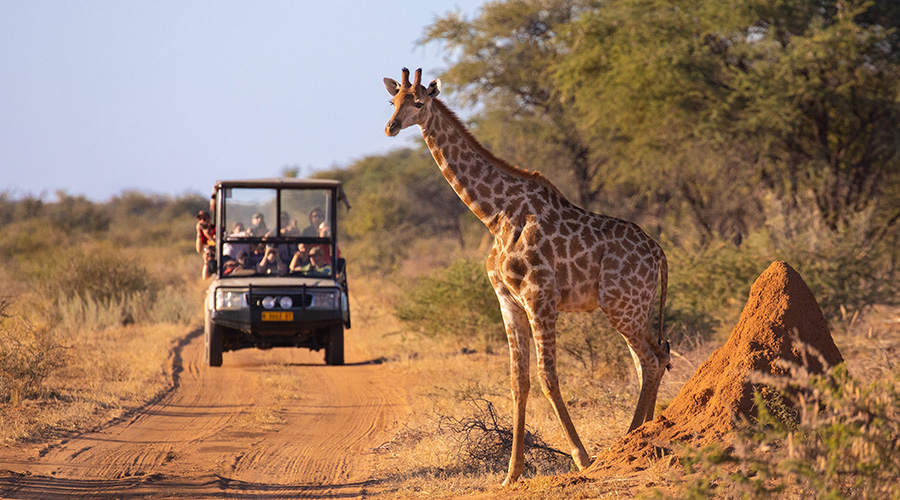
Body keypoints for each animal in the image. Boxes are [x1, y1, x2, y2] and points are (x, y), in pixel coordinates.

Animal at [384, 68, 670, 486]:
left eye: (418, 103)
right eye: (393, 101)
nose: (390, 127)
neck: (494, 215)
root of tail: (659, 253)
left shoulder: (540, 297)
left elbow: (548, 377)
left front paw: (582, 458)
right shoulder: (508, 301)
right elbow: (519, 382)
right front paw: (511, 473)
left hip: (621, 305)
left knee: (649, 360)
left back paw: (630, 439)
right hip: (636, 306)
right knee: (654, 357)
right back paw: (645, 434)